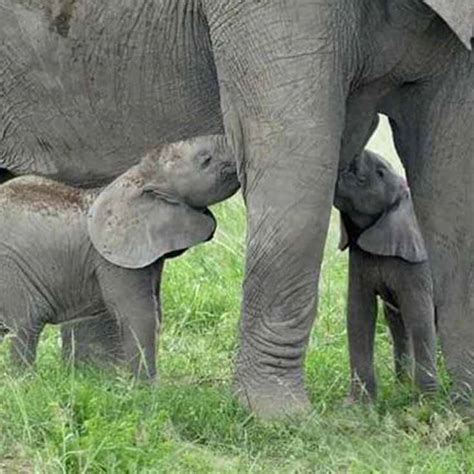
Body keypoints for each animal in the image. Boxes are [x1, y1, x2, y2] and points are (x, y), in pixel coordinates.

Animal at [0, 135, 239, 380]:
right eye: (206, 160)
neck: (137, 176)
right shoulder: (112, 258)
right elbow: (139, 313)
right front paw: (145, 387)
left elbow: (155, 308)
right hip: (12, 272)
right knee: (26, 324)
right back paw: (23, 382)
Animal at [334, 150, 436, 402]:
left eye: (379, 172)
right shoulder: (359, 257)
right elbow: (359, 313)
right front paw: (359, 405)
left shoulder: (418, 263)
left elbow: (420, 317)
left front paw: (427, 402)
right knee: (396, 322)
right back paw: (402, 386)